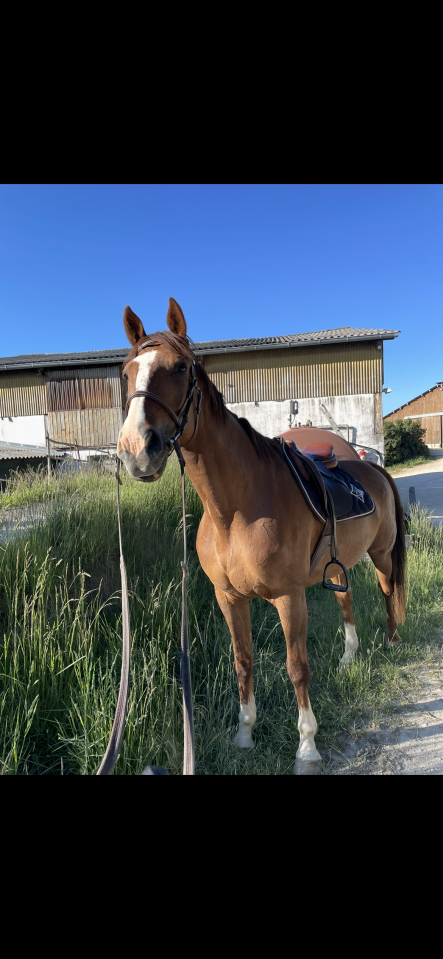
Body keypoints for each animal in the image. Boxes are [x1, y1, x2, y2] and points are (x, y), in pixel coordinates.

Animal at [117, 298, 407, 774]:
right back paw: (349, 657)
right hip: (340, 564)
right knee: (346, 599)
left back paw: (393, 640)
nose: (138, 450)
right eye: (126, 372)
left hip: (381, 554)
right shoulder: (230, 599)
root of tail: (374, 469)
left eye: (180, 368)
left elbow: (297, 667)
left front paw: (307, 746)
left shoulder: (290, 598)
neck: (235, 512)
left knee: (387, 590)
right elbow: (243, 662)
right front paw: (245, 734)